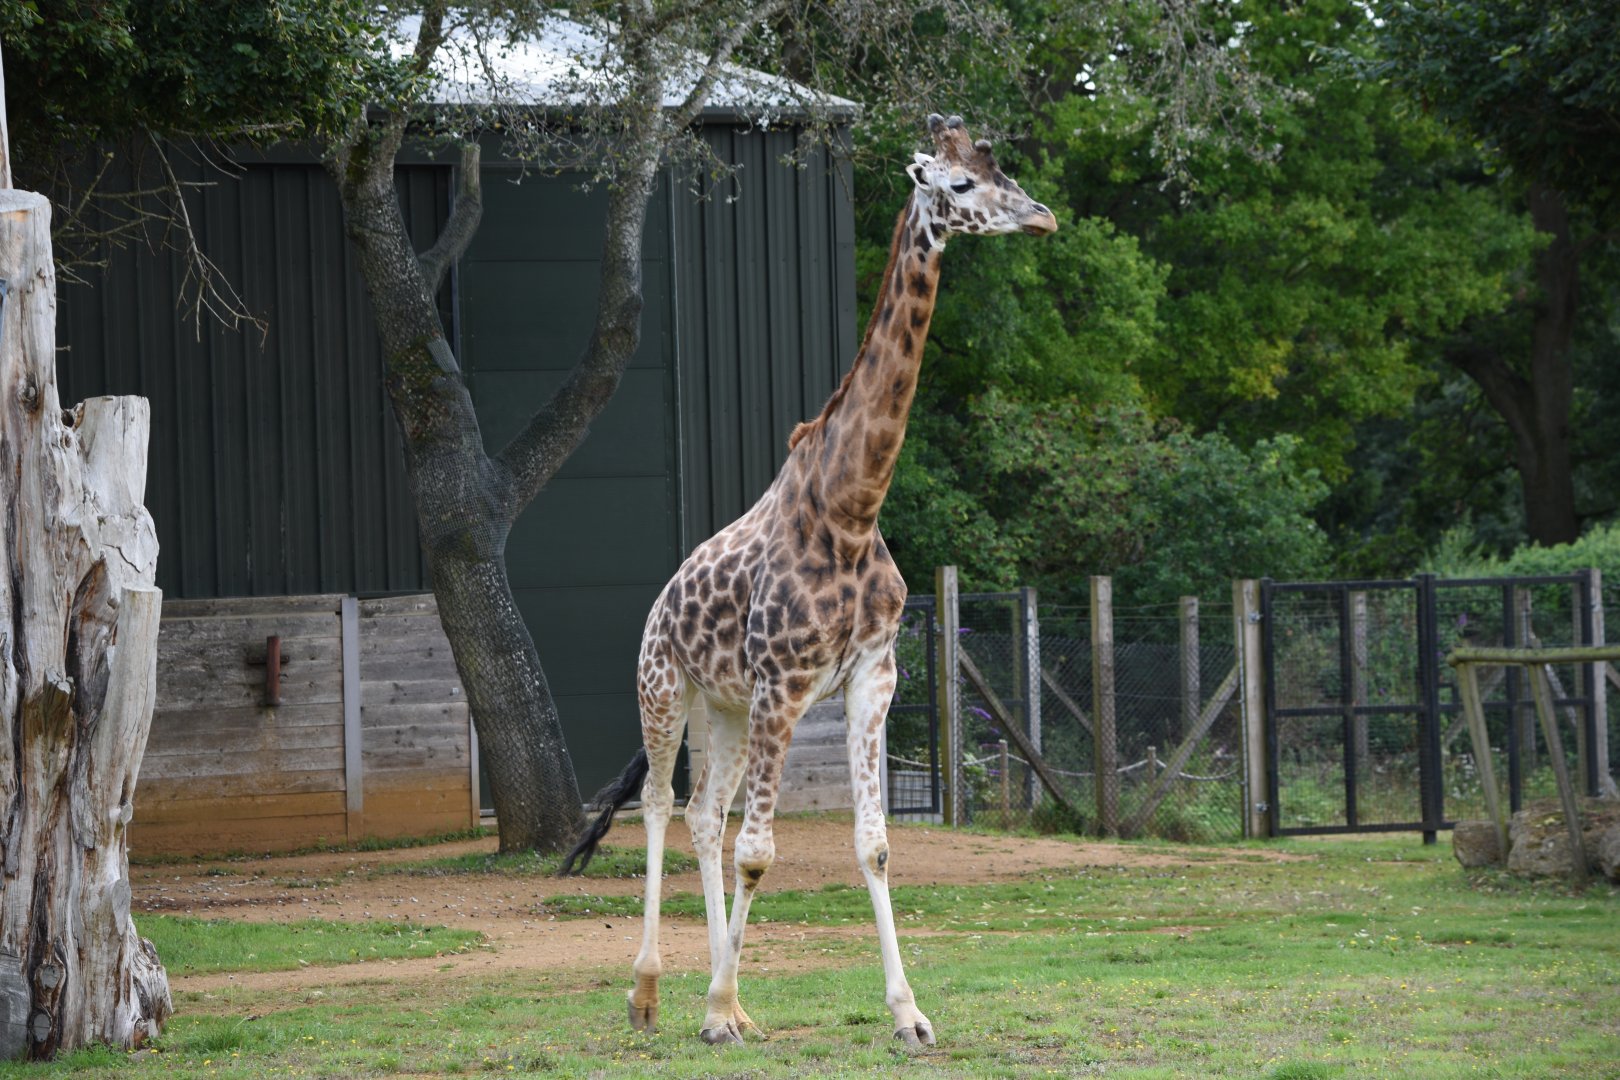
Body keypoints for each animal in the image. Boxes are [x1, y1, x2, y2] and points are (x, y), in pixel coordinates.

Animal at [560, 113, 1057, 1047]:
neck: (850, 509)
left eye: (1004, 172)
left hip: (721, 708)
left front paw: (908, 1015)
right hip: (665, 689)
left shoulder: (872, 679)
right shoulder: (782, 686)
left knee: (702, 816)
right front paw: (711, 1010)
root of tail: (660, 602)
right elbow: (760, 853)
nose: (1042, 218)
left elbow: (872, 843)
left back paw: (734, 1002)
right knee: (659, 808)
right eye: (961, 185)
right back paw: (650, 993)